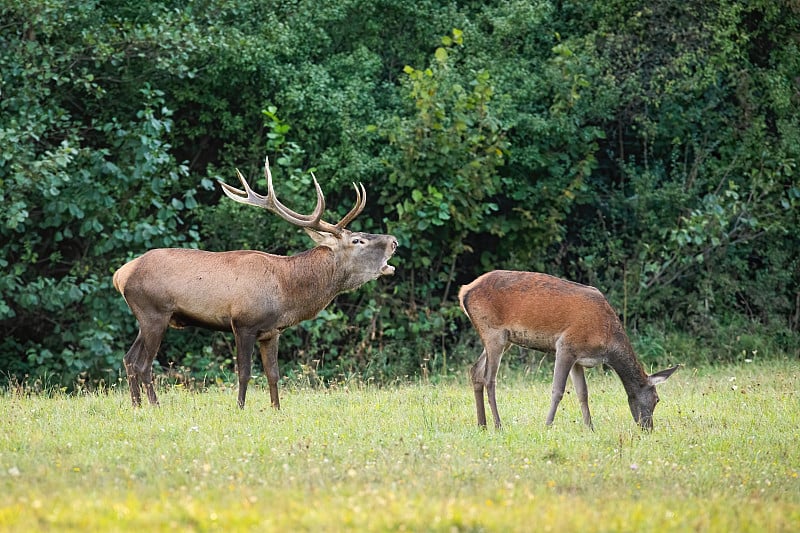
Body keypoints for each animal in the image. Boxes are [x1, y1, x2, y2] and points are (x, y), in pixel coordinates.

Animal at [112, 157, 396, 408]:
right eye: (357, 240)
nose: (393, 241)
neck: (287, 290)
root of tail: (121, 274)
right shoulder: (243, 323)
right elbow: (245, 373)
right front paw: (240, 407)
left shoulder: (272, 331)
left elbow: (273, 374)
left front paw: (276, 409)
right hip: (154, 312)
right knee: (143, 364)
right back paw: (154, 405)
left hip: (146, 317)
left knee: (128, 359)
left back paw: (136, 406)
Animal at [460, 272, 680, 430]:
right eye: (657, 399)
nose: (648, 428)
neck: (607, 343)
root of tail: (464, 291)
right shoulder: (565, 345)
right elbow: (557, 390)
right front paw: (547, 425)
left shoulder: (578, 358)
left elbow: (583, 393)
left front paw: (590, 427)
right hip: (493, 333)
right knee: (489, 378)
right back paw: (498, 425)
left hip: (502, 338)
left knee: (475, 371)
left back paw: (482, 425)